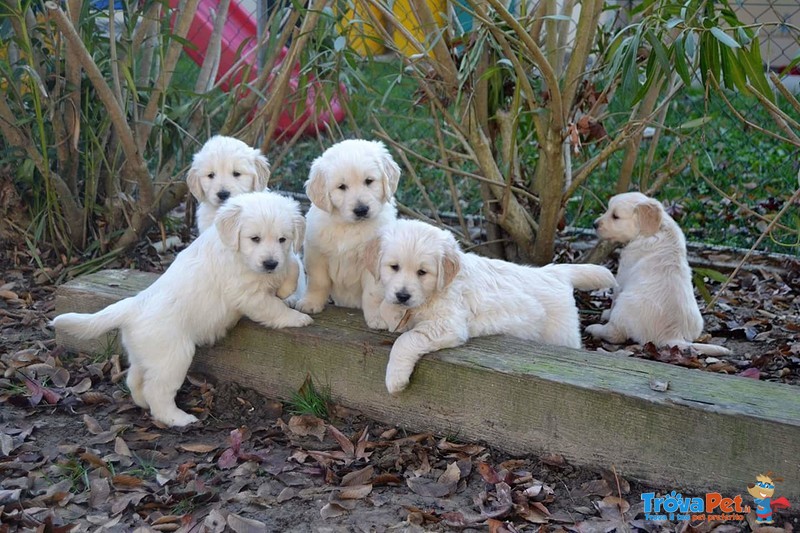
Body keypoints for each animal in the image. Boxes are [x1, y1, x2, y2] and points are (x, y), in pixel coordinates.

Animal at [52, 190, 310, 424]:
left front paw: (287, 291)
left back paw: (142, 402)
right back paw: (177, 419)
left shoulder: (279, 264)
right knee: (157, 390)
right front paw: (296, 317)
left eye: (283, 239)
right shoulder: (248, 294)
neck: (236, 253)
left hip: (145, 353)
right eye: (254, 238)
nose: (270, 263)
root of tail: (133, 306)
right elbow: (272, 306)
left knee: (135, 378)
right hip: (173, 356)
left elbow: (293, 264)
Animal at [296, 139, 404, 326]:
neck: (349, 226)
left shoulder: (374, 262)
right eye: (342, 187)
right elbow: (318, 281)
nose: (361, 210)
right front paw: (310, 302)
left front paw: (377, 317)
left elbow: (373, 292)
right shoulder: (316, 254)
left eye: (369, 181)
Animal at [366, 218, 616, 392]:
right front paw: (391, 315)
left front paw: (395, 379)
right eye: (394, 267)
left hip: (561, 334)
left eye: (422, 272)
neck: (435, 292)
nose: (402, 295)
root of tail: (554, 271)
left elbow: (406, 340)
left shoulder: (448, 324)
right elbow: (387, 308)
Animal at [580, 191, 732, 354]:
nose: (594, 224)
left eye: (615, 216)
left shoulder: (622, 276)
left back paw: (595, 329)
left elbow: (614, 299)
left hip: (624, 306)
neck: (655, 229)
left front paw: (607, 313)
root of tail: (672, 334)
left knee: (616, 334)